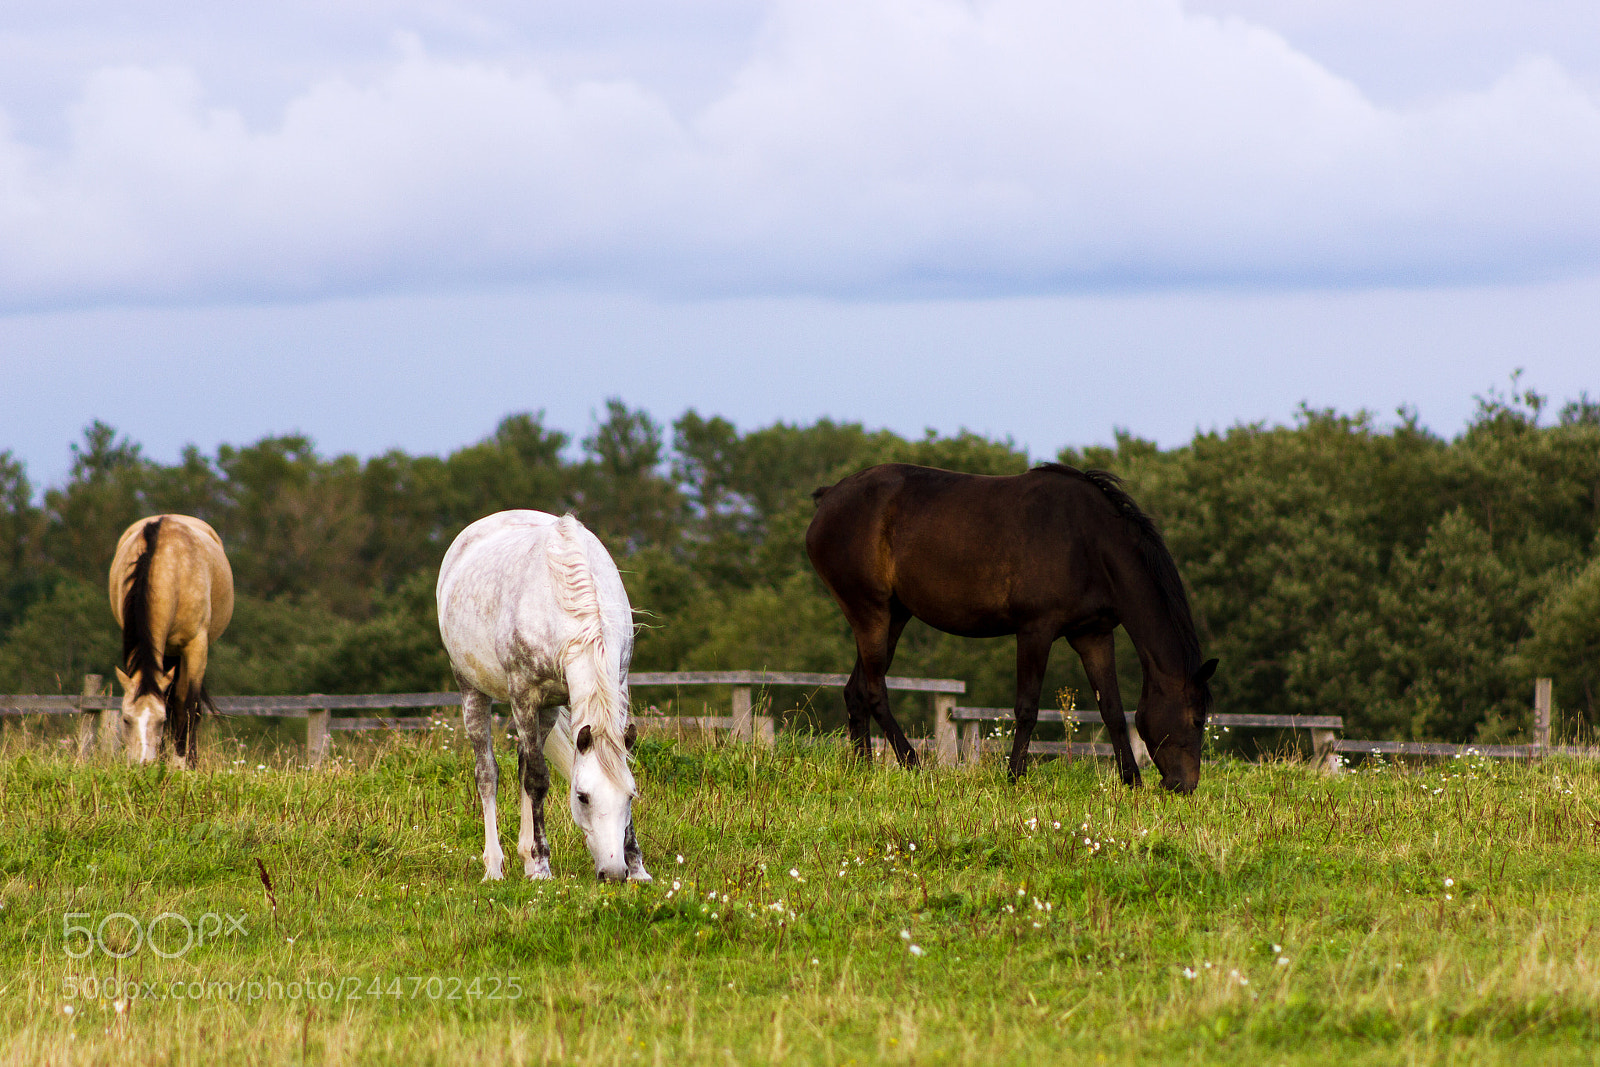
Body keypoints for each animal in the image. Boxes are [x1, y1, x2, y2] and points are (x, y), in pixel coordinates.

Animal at [108, 515, 234, 766]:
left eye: (160, 721)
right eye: (126, 719)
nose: (142, 764)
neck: (170, 567)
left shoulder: (196, 646)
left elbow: (187, 706)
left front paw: (182, 764)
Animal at [437, 510, 651, 883]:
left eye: (629, 796)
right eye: (582, 797)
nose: (613, 873)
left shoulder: (618, 687)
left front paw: (638, 866)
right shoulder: (524, 695)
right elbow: (537, 779)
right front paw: (540, 866)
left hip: (548, 709)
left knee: (524, 760)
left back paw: (522, 855)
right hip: (472, 690)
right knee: (487, 773)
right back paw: (495, 867)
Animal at [806, 463, 1216, 793]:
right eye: (1197, 719)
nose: (1184, 785)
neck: (1088, 542)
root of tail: (829, 497)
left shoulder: (1093, 635)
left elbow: (1112, 709)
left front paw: (1131, 780)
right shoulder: (1035, 630)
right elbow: (1027, 708)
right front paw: (1014, 776)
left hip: (893, 616)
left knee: (856, 691)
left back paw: (863, 769)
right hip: (870, 612)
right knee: (876, 691)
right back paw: (912, 764)